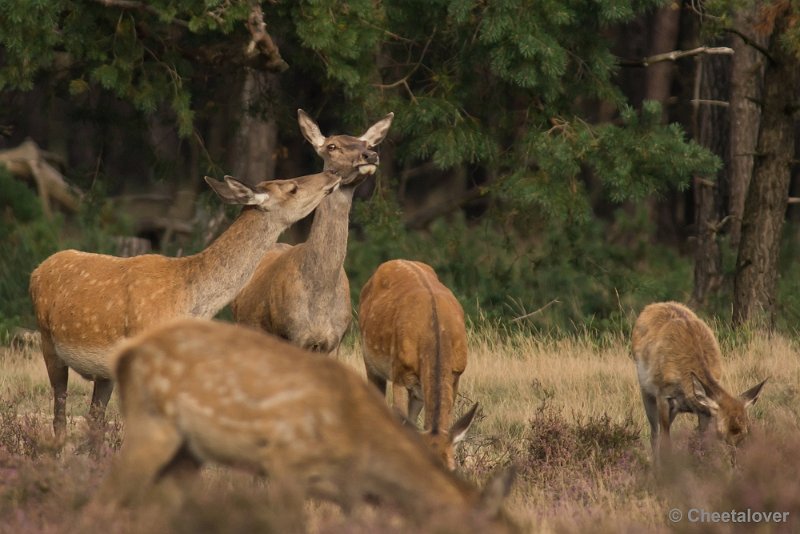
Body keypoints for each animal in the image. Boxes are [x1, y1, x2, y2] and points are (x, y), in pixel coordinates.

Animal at [28, 172, 340, 444]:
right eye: (292, 187)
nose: (331, 175)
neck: (189, 300)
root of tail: (38, 269)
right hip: (48, 342)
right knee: (60, 412)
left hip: (104, 369)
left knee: (94, 417)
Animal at [95, 318, 520, 532]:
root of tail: (126, 354)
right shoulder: (286, 461)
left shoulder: (348, 494)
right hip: (152, 424)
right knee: (106, 499)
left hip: (189, 452)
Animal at [632, 302, 768, 468]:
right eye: (720, 432)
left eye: (747, 431)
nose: (734, 463)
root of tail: (654, 305)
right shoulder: (662, 394)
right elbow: (665, 444)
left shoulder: (704, 412)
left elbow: (700, 445)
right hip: (646, 391)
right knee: (654, 435)